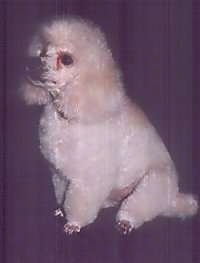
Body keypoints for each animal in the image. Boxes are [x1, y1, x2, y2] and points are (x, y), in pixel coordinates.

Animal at [20, 17, 197, 235]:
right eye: (43, 51)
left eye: (67, 59)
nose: (30, 64)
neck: (70, 113)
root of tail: (172, 199)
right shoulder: (60, 173)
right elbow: (63, 193)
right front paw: (62, 210)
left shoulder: (89, 177)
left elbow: (80, 202)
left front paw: (74, 223)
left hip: (153, 183)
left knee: (138, 207)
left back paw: (126, 221)